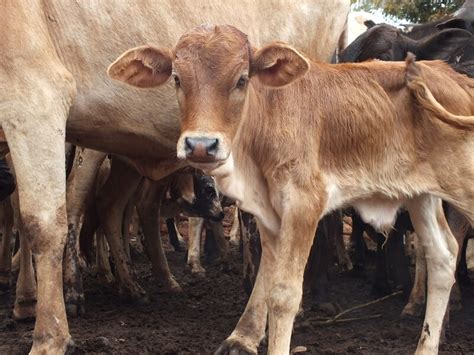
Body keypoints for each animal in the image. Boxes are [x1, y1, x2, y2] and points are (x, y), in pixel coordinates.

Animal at [0, 0, 348, 354]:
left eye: (241, 79)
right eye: (176, 78)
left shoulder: (34, 95)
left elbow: (42, 226)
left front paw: (48, 337)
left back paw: (246, 332)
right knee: (111, 204)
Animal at [109, 24, 474, 354]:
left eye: (242, 79)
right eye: (177, 78)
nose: (201, 145)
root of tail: (456, 77)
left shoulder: (304, 205)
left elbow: (285, 295)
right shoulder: (269, 216)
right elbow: (269, 287)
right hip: (421, 196)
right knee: (443, 256)